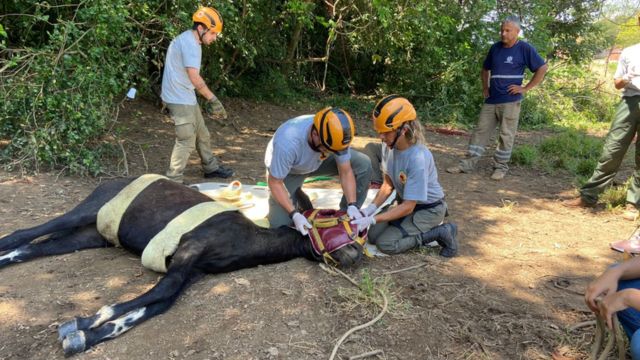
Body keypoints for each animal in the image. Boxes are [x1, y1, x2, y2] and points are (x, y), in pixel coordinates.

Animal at [0, 174, 362, 354]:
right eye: (328, 217)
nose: (356, 254)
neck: (246, 241)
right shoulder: (192, 247)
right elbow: (161, 292)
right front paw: (81, 323)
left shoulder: (196, 268)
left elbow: (162, 302)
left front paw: (87, 336)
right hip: (90, 208)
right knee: (27, 232)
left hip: (96, 233)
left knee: (40, 246)